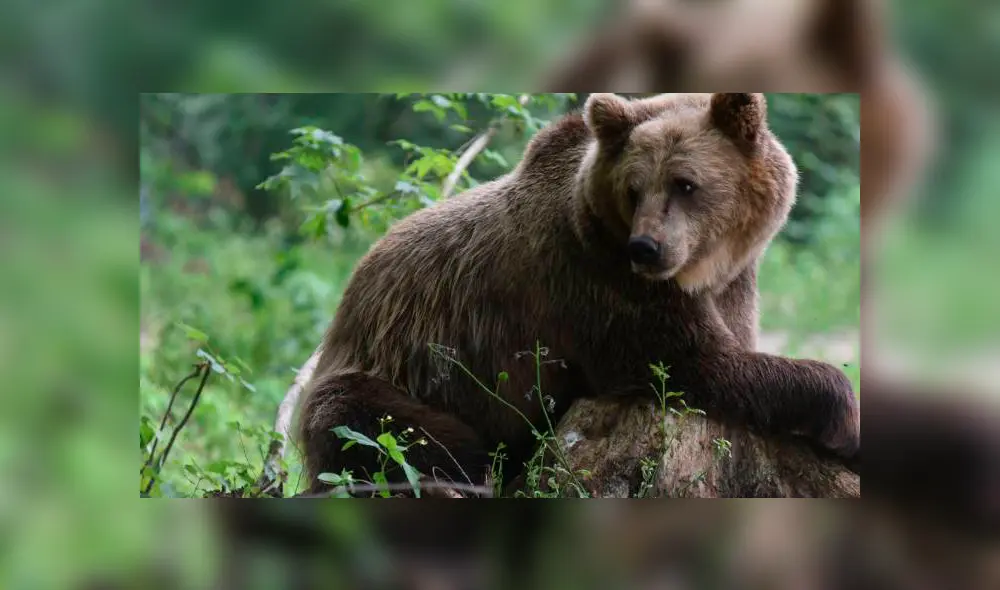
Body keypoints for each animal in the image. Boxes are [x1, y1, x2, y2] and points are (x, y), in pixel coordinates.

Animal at [297, 93, 861, 493]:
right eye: (634, 188)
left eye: (685, 183)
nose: (645, 247)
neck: (700, 270)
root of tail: (347, 302)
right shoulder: (598, 283)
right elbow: (696, 365)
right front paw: (842, 415)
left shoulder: (733, 283)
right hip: (388, 370)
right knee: (375, 429)